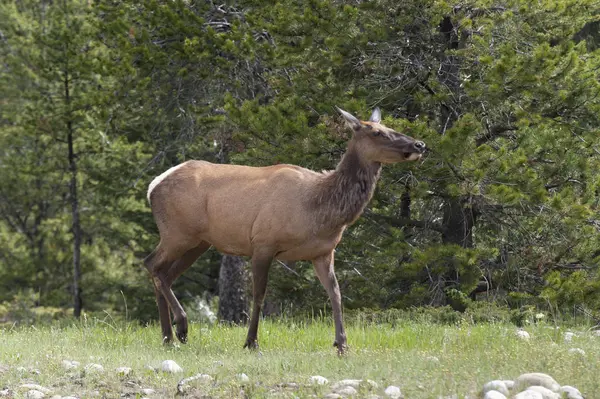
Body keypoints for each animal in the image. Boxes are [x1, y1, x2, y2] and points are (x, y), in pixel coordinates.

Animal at [145, 108, 426, 354]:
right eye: (377, 132)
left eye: (390, 127)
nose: (419, 144)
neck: (319, 210)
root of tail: (152, 186)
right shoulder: (263, 242)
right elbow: (259, 295)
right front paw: (251, 341)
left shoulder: (323, 252)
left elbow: (335, 293)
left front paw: (342, 344)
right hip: (178, 233)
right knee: (152, 265)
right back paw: (181, 327)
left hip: (199, 242)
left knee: (164, 273)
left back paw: (168, 336)